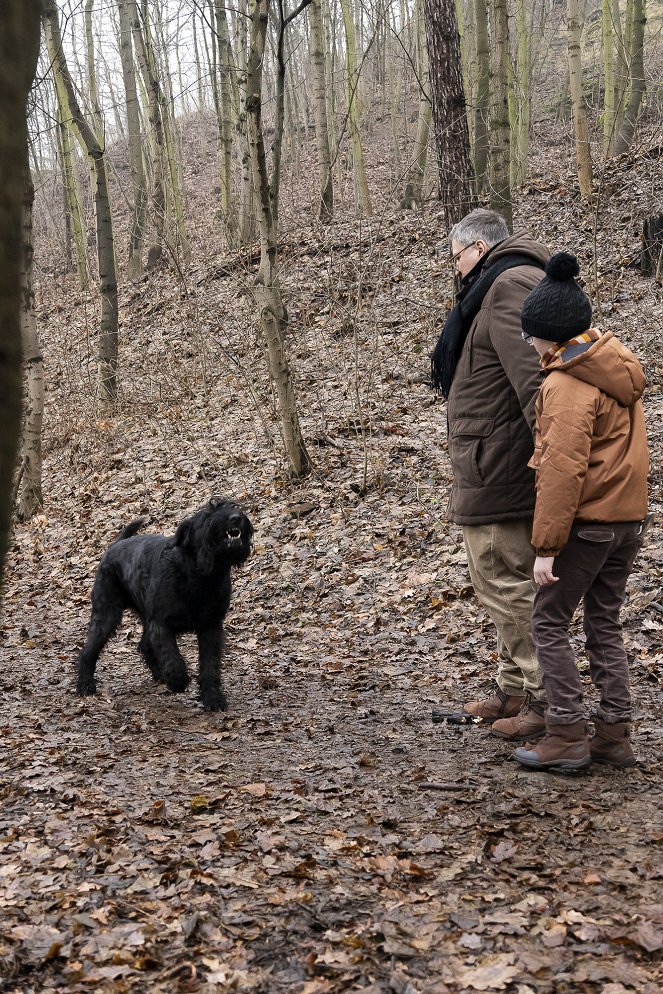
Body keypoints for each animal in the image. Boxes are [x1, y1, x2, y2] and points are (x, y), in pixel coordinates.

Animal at [77, 500, 254, 708]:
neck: (201, 576)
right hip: (107, 615)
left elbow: (210, 666)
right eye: (207, 516)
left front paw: (212, 697)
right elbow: (172, 657)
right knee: (88, 651)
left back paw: (159, 674)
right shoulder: (161, 624)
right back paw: (85, 684)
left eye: (233, 506)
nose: (236, 517)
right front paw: (178, 680)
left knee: (144, 646)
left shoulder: (211, 628)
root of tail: (116, 544)